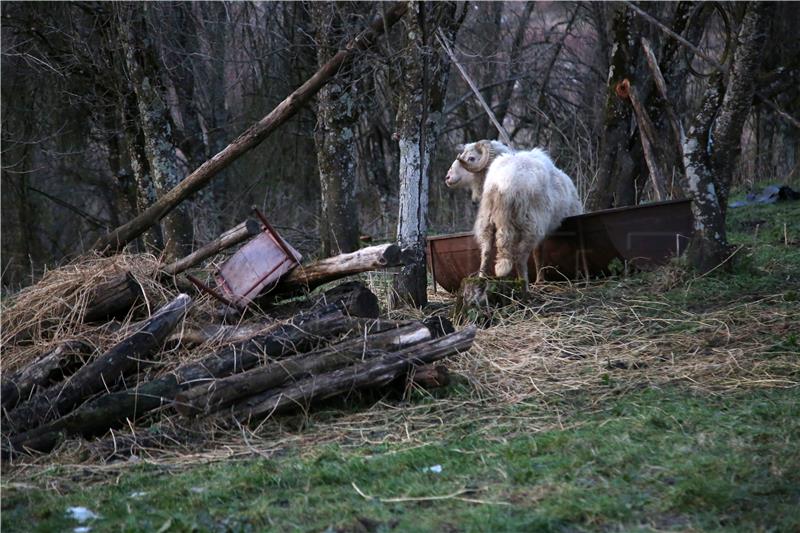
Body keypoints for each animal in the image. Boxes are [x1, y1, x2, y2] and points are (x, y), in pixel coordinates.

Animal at [444, 139, 580, 284]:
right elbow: (538, 252)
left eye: (471, 158)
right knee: (520, 257)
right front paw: (540, 280)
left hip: (493, 220)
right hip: (528, 223)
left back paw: (483, 279)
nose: (447, 177)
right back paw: (524, 284)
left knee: (486, 251)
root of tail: (501, 184)